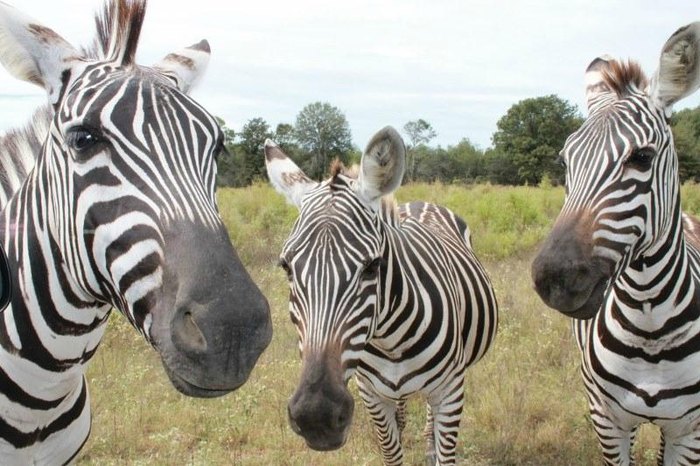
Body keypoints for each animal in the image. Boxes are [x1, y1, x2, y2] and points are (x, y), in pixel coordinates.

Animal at [262, 125, 498, 464]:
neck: (391, 342)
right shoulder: (371, 394)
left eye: (373, 266)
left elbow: (446, 453)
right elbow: (391, 451)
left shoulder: (451, 391)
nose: (316, 417)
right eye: (287, 267)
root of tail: (422, 203)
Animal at [532, 22, 700, 466]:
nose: (555, 280)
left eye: (642, 157)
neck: (650, 325)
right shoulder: (606, 419)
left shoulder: (690, 431)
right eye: (565, 162)